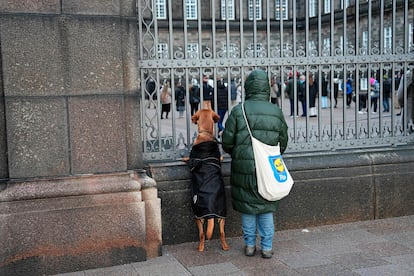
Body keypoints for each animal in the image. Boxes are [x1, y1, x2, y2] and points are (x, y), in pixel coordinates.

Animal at [184, 102, 230, 252]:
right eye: (209, 108)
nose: (207, 101)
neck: (206, 134)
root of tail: (211, 213)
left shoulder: (192, 160)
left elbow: (188, 159)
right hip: (222, 218)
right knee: (222, 233)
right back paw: (225, 246)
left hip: (199, 216)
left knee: (202, 234)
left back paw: (200, 247)